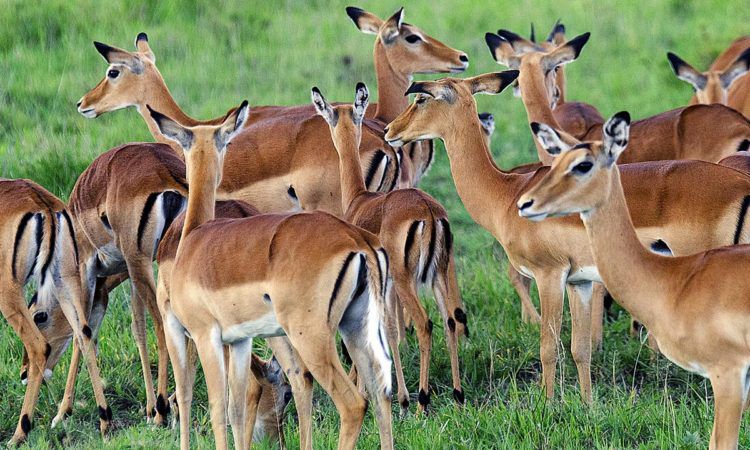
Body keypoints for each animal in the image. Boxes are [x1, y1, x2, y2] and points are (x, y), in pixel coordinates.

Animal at [0, 179, 110, 445]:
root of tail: (42, 204)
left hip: (10, 292)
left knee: (39, 346)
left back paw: (19, 434)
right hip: (66, 281)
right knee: (84, 334)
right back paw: (104, 422)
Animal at [149, 102, 393, 450]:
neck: (192, 239)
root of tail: (358, 241)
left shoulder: (203, 334)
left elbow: (211, 405)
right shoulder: (239, 341)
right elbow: (236, 408)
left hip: (311, 337)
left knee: (352, 403)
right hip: (356, 328)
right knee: (379, 393)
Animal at [312, 83, 467, 414]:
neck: (359, 200)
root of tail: (429, 213)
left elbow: (382, 331)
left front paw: (389, 395)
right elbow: (391, 330)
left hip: (407, 280)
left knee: (424, 324)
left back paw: (422, 401)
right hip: (437, 276)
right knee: (449, 321)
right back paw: (458, 396)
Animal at [384, 71, 750, 404]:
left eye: (421, 98)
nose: (391, 131)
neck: (507, 194)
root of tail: (740, 184)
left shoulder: (550, 275)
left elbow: (549, 346)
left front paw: (547, 405)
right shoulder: (581, 281)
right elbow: (580, 348)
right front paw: (588, 406)